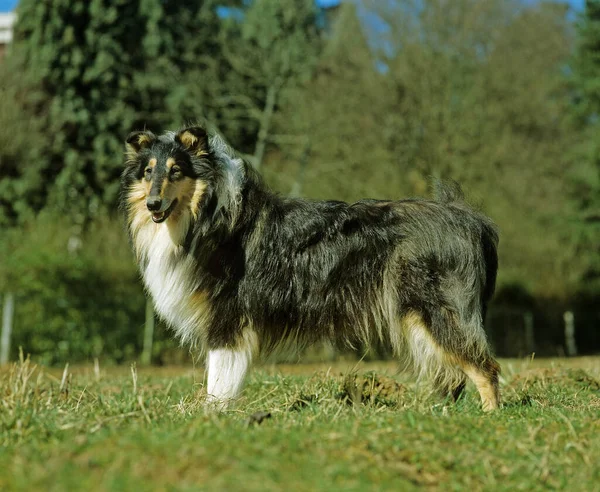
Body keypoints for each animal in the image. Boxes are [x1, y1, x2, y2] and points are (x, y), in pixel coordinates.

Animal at [120, 127, 502, 412]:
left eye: (176, 171)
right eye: (149, 171)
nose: (153, 204)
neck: (208, 215)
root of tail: (469, 217)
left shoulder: (227, 320)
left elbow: (219, 379)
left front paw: (213, 416)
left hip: (438, 308)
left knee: (485, 368)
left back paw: (489, 418)